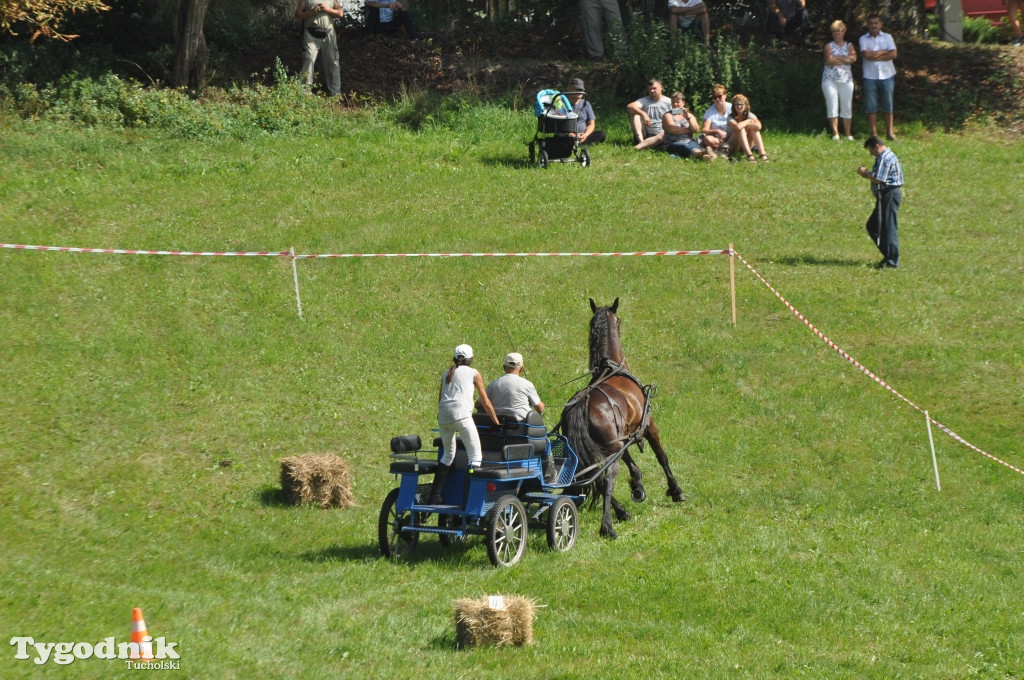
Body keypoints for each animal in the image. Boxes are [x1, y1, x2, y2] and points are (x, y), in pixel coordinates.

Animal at [557, 301, 684, 540]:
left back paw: (621, 512)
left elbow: (633, 464)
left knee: (592, 478)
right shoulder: (649, 426)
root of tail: (583, 403)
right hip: (609, 449)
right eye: (619, 321)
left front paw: (637, 486)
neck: (613, 368)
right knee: (606, 479)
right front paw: (675, 490)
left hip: (592, 449)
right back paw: (607, 525)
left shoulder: (622, 439)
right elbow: (662, 457)